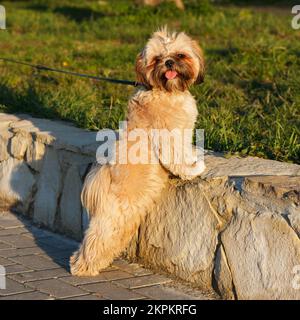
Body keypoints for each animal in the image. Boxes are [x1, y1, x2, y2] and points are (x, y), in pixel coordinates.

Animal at [70, 27, 206, 276]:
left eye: (180, 55)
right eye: (157, 59)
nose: (169, 62)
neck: (165, 91)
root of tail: (104, 176)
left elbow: (185, 150)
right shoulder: (168, 136)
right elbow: (177, 157)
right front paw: (193, 169)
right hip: (117, 216)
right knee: (97, 239)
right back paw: (83, 267)